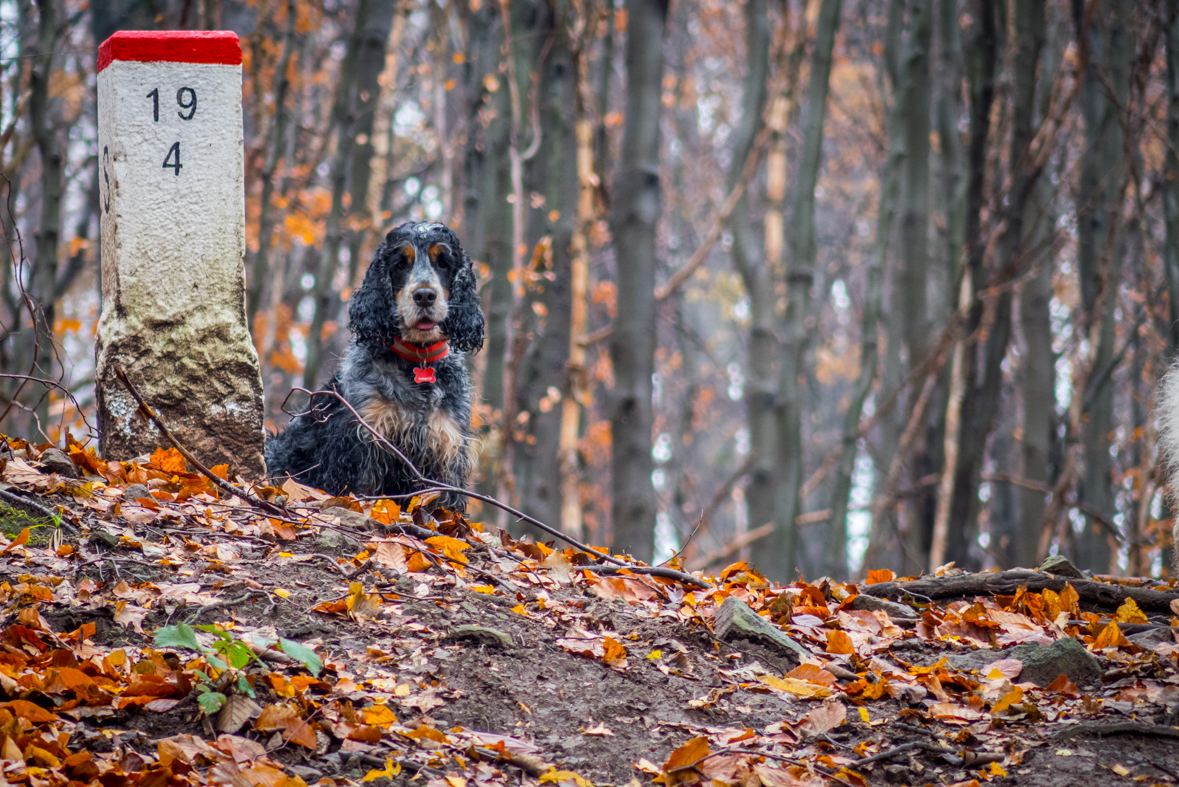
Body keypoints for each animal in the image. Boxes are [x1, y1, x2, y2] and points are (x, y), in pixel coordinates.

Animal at [266, 220, 483, 511]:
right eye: (400, 264)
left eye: (443, 263)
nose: (425, 295)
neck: (417, 361)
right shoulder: (362, 443)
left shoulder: (446, 448)